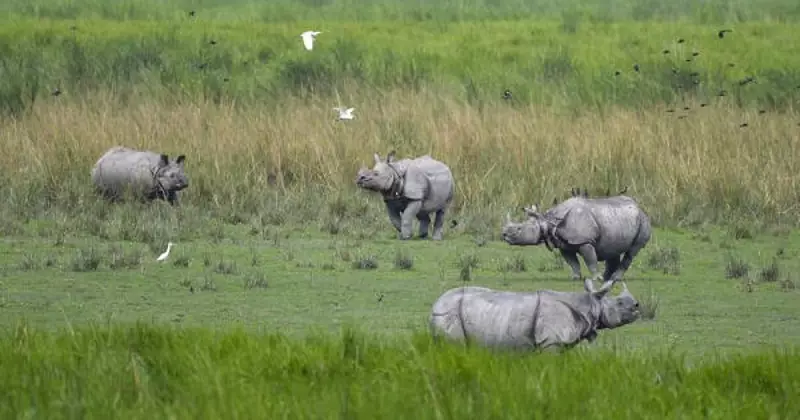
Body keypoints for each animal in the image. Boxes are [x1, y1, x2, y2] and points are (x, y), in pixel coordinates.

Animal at [429, 279, 640, 351]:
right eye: (620, 303)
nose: (637, 306)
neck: (590, 304)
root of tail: (434, 305)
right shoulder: (552, 341)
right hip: (448, 315)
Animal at [501, 193, 651, 286]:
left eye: (519, 229)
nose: (503, 234)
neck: (548, 221)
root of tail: (640, 207)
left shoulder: (584, 241)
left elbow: (590, 260)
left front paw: (595, 279)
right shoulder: (563, 245)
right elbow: (572, 262)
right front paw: (575, 278)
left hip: (643, 221)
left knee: (632, 251)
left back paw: (614, 278)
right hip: (617, 219)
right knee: (612, 248)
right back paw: (607, 279)